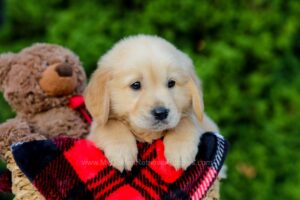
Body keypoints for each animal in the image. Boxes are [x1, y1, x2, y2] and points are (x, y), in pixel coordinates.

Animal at [84, 34, 218, 172]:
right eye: (135, 85)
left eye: (171, 83)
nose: (161, 113)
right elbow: (109, 124)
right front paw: (121, 151)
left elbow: (185, 121)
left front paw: (180, 149)